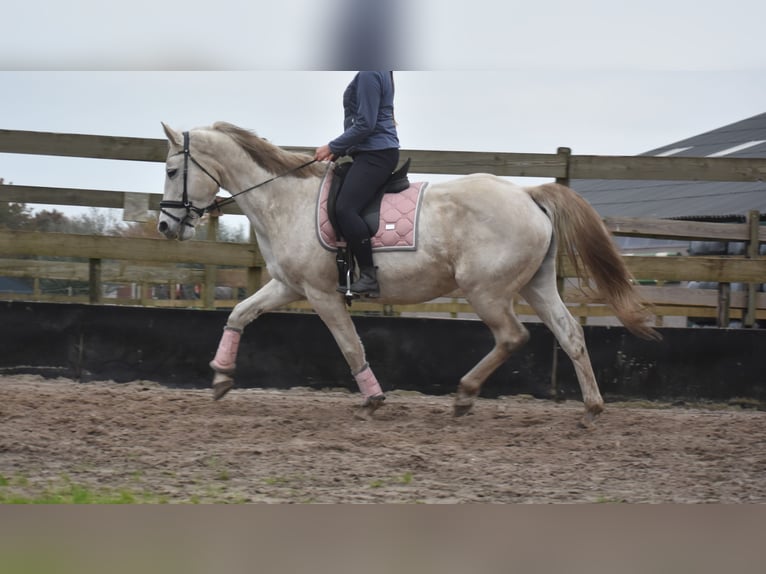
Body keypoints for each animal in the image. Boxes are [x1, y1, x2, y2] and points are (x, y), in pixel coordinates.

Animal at [158, 121, 660, 428]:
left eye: (171, 169)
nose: (165, 226)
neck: (287, 200)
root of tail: (529, 195)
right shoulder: (287, 286)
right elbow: (240, 314)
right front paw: (221, 378)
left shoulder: (322, 293)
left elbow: (350, 345)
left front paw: (373, 399)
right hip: (535, 286)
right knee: (570, 333)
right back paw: (591, 409)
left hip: (486, 291)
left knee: (513, 337)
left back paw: (464, 395)